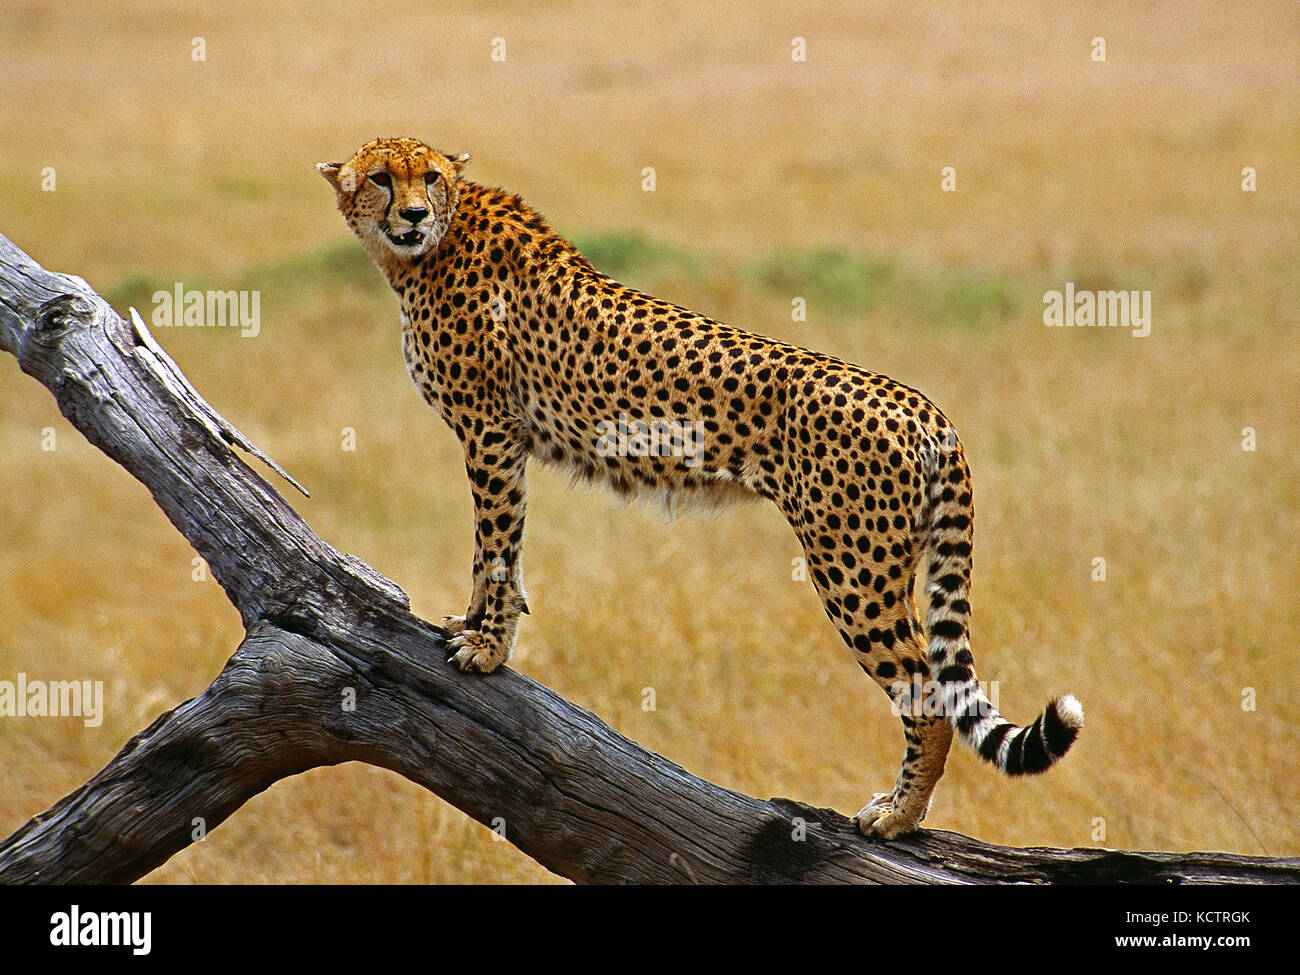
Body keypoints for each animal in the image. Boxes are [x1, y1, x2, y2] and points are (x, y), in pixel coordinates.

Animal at [319, 135, 1081, 842]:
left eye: (430, 178)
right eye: (382, 177)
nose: (414, 213)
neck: (425, 251)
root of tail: (923, 404)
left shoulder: (491, 432)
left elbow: (497, 543)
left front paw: (485, 647)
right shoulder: (498, 437)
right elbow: (495, 551)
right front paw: (474, 627)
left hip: (852, 568)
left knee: (926, 695)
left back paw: (898, 815)